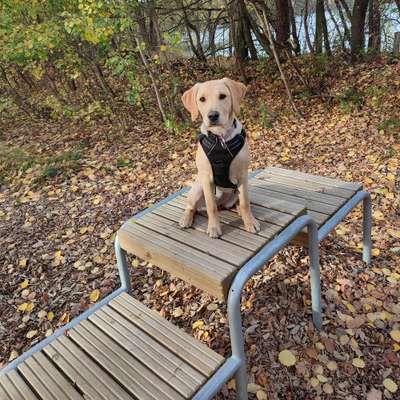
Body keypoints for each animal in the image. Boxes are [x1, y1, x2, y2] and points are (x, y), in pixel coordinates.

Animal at [180, 77, 260, 238]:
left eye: (222, 96)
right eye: (202, 99)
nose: (212, 116)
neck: (221, 139)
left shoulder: (243, 176)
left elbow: (245, 203)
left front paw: (250, 222)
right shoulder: (206, 179)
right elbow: (211, 207)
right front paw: (214, 227)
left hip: (236, 191)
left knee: (237, 203)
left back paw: (239, 211)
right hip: (198, 188)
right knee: (192, 207)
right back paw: (186, 218)